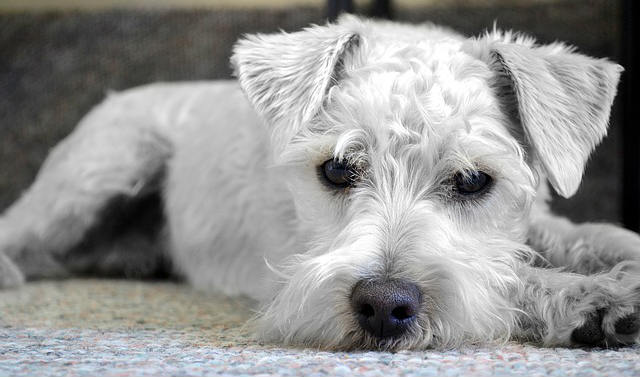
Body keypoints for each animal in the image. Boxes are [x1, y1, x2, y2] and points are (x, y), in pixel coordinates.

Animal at [1, 16, 640, 348]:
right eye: (335, 168)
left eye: (472, 180)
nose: (383, 307)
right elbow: (513, 281)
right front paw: (598, 300)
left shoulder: (535, 224)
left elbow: (587, 236)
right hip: (99, 172)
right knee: (21, 230)